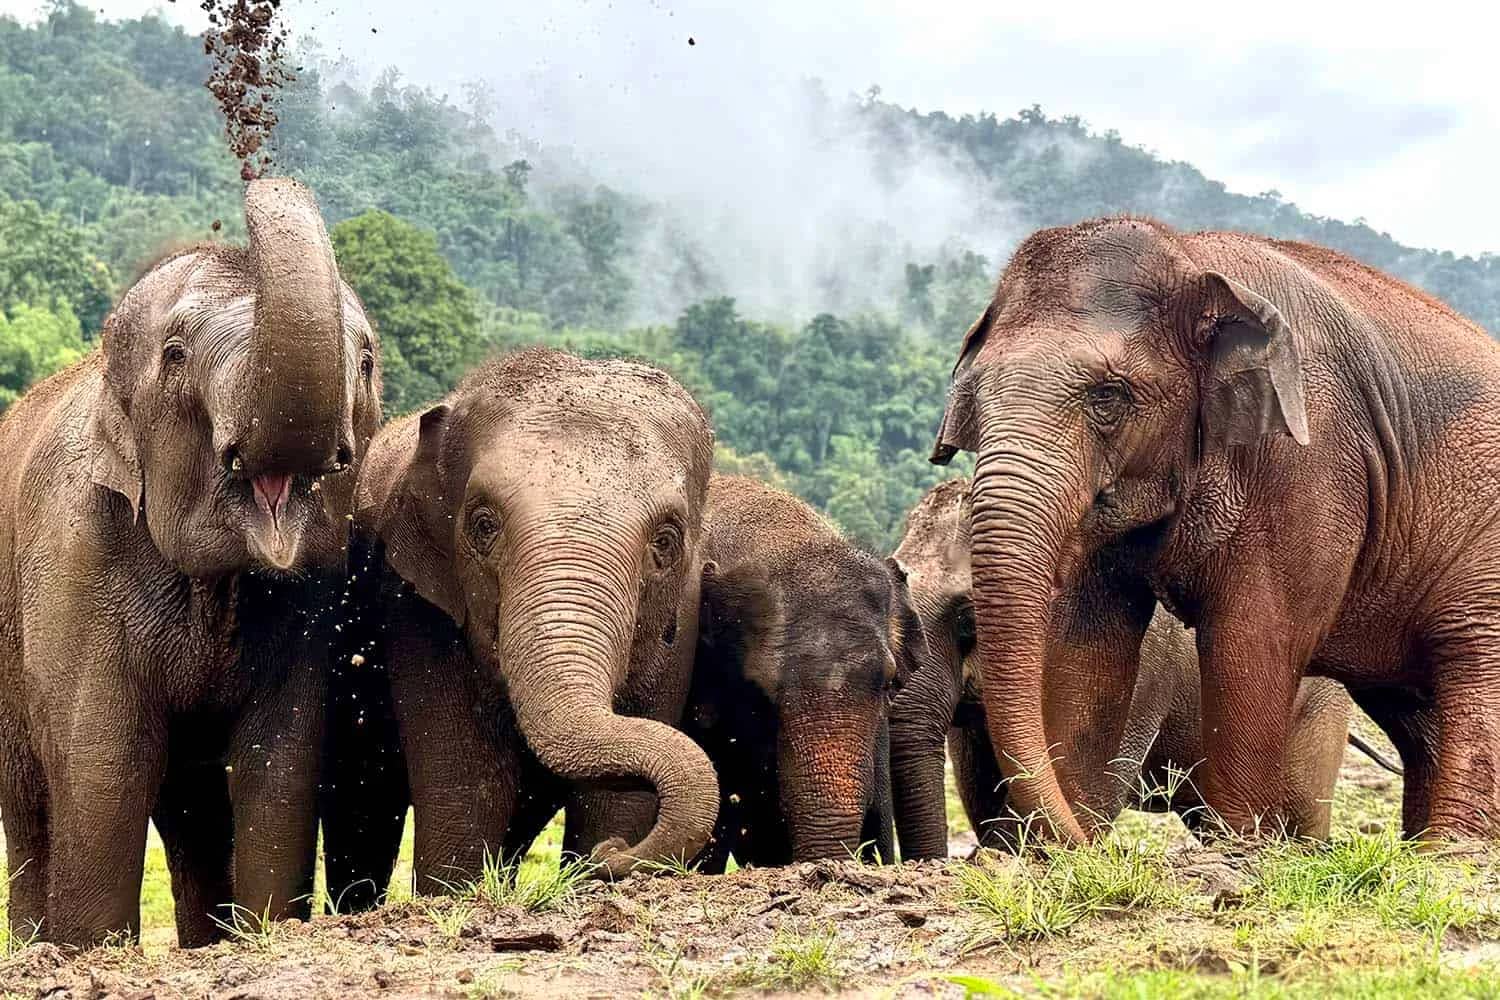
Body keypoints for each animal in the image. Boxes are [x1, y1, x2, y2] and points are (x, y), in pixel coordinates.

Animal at [0, 178, 380, 947]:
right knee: (28, 806)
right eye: (175, 354)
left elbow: (279, 759)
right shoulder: (73, 556)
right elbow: (106, 764)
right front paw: (92, 952)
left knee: (193, 813)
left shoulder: (310, 603)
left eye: (364, 364)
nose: (251, 179)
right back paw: (34, 948)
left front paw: (267, 933)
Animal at [322, 348, 719, 902]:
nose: (613, 856)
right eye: (483, 524)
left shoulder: (680, 621)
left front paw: (598, 866)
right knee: (364, 800)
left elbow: (616, 797)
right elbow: (469, 779)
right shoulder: (416, 605)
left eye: (665, 541)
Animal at [888, 478, 1401, 856]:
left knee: (1302, 817)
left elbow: (1098, 778)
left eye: (968, 617)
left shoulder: (1143, 669)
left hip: (1318, 714)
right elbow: (980, 785)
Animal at [928, 215, 1500, 843]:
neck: (1191, 256)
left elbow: (1256, 634)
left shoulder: (1311, 457)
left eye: (1109, 396)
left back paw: (1451, 851)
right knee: (1419, 712)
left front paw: (1234, 844)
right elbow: (1086, 643)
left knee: (1474, 666)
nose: (1062, 841)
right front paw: (1061, 840)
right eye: (975, 398)